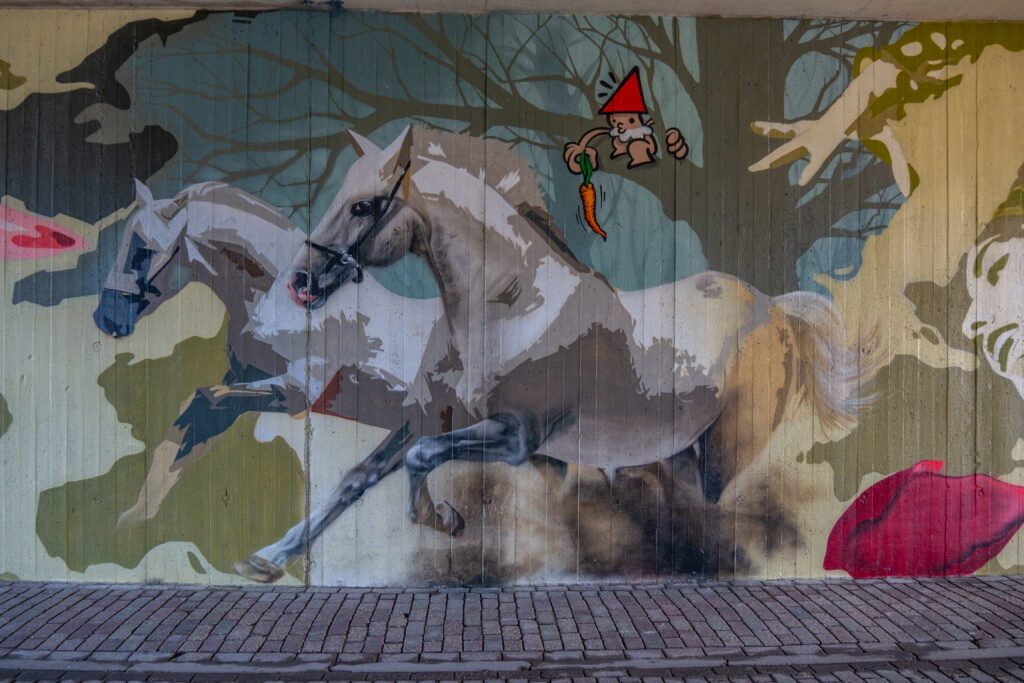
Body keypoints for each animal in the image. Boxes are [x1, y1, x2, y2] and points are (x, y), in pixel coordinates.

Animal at [94, 181, 454, 581]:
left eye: (141, 249)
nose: (107, 318)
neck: (282, 303)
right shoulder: (244, 377)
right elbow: (183, 437)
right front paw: (126, 527)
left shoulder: (296, 392)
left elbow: (205, 398)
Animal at [286, 126, 872, 532]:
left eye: (363, 206)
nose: (300, 280)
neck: (512, 307)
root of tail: (775, 308)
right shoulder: (437, 411)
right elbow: (362, 474)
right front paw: (274, 557)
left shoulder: (519, 435)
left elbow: (421, 456)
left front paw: (442, 518)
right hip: (679, 450)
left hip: (727, 454)